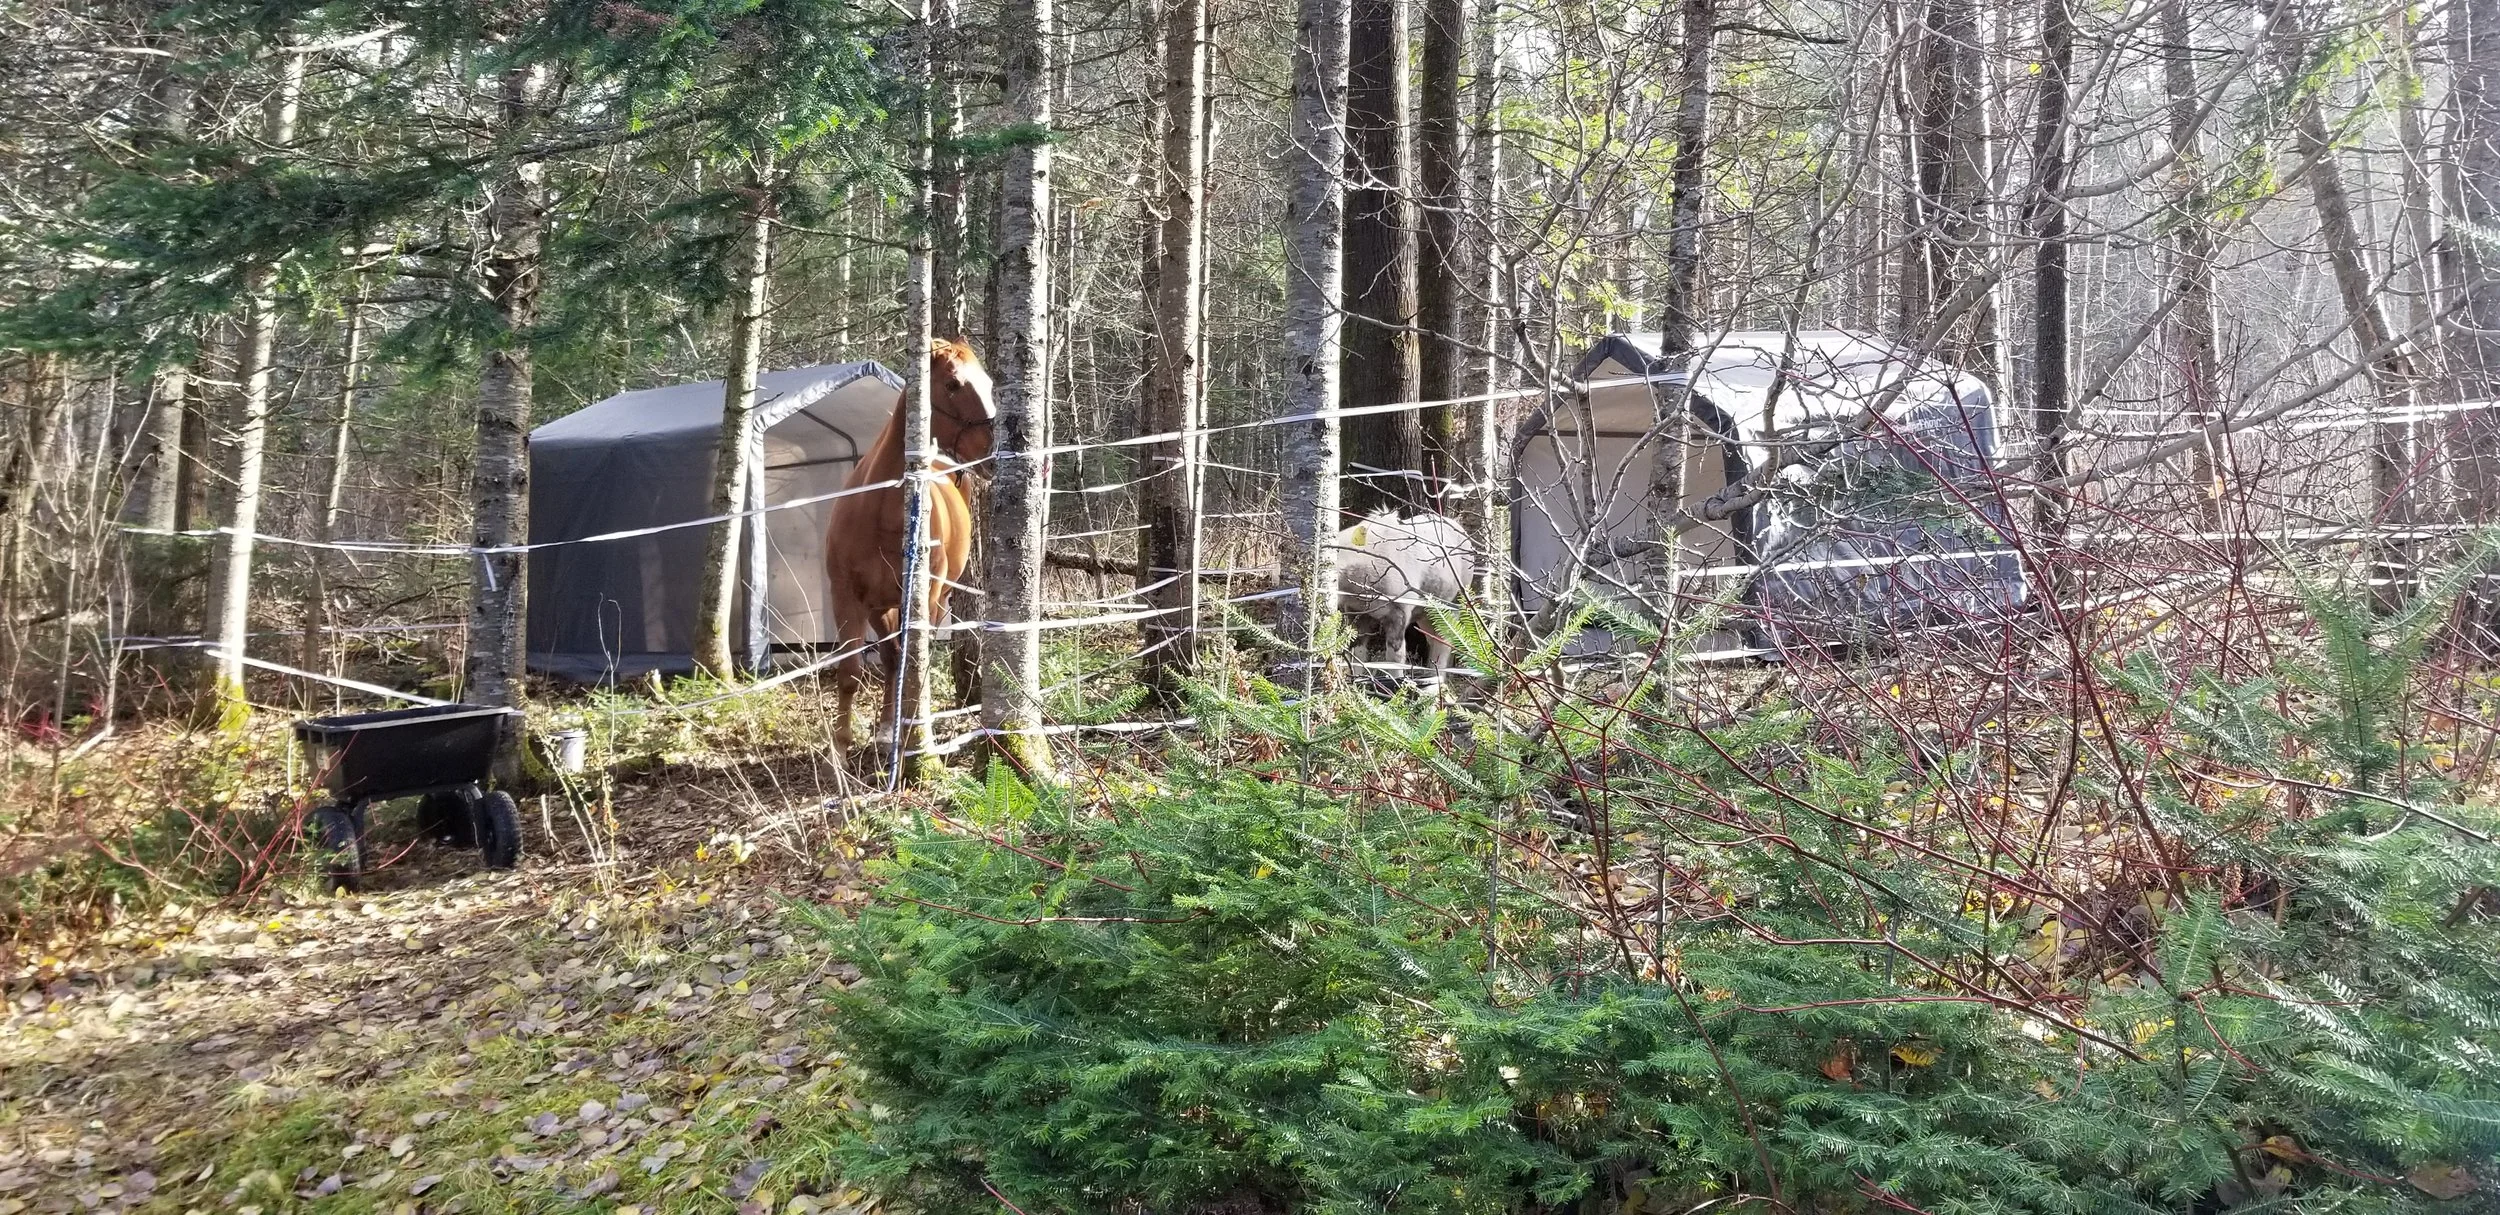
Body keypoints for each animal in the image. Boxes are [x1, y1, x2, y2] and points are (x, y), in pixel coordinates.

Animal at [824, 338, 997, 759]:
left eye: (989, 383)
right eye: (953, 384)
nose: (993, 453)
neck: (883, 513)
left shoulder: (923, 596)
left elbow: (912, 664)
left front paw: (908, 736)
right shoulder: (847, 596)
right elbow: (850, 673)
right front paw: (840, 748)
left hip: (930, 600)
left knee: (910, 658)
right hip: (880, 606)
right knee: (891, 658)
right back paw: (888, 727)